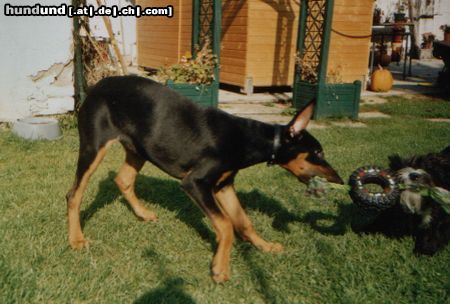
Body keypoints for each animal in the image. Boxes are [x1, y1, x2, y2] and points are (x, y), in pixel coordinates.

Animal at [65, 76, 342, 282]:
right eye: (318, 153)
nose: (339, 178)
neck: (247, 139)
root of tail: (96, 86)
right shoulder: (196, 183)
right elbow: (226, 225)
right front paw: (220, 268)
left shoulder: (223, 185)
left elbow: (243, 222)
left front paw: (264, 246)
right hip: (94, 147)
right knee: (74, 194)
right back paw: (76, 239)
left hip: (138, 149)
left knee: (123, 180)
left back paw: (143, 214)